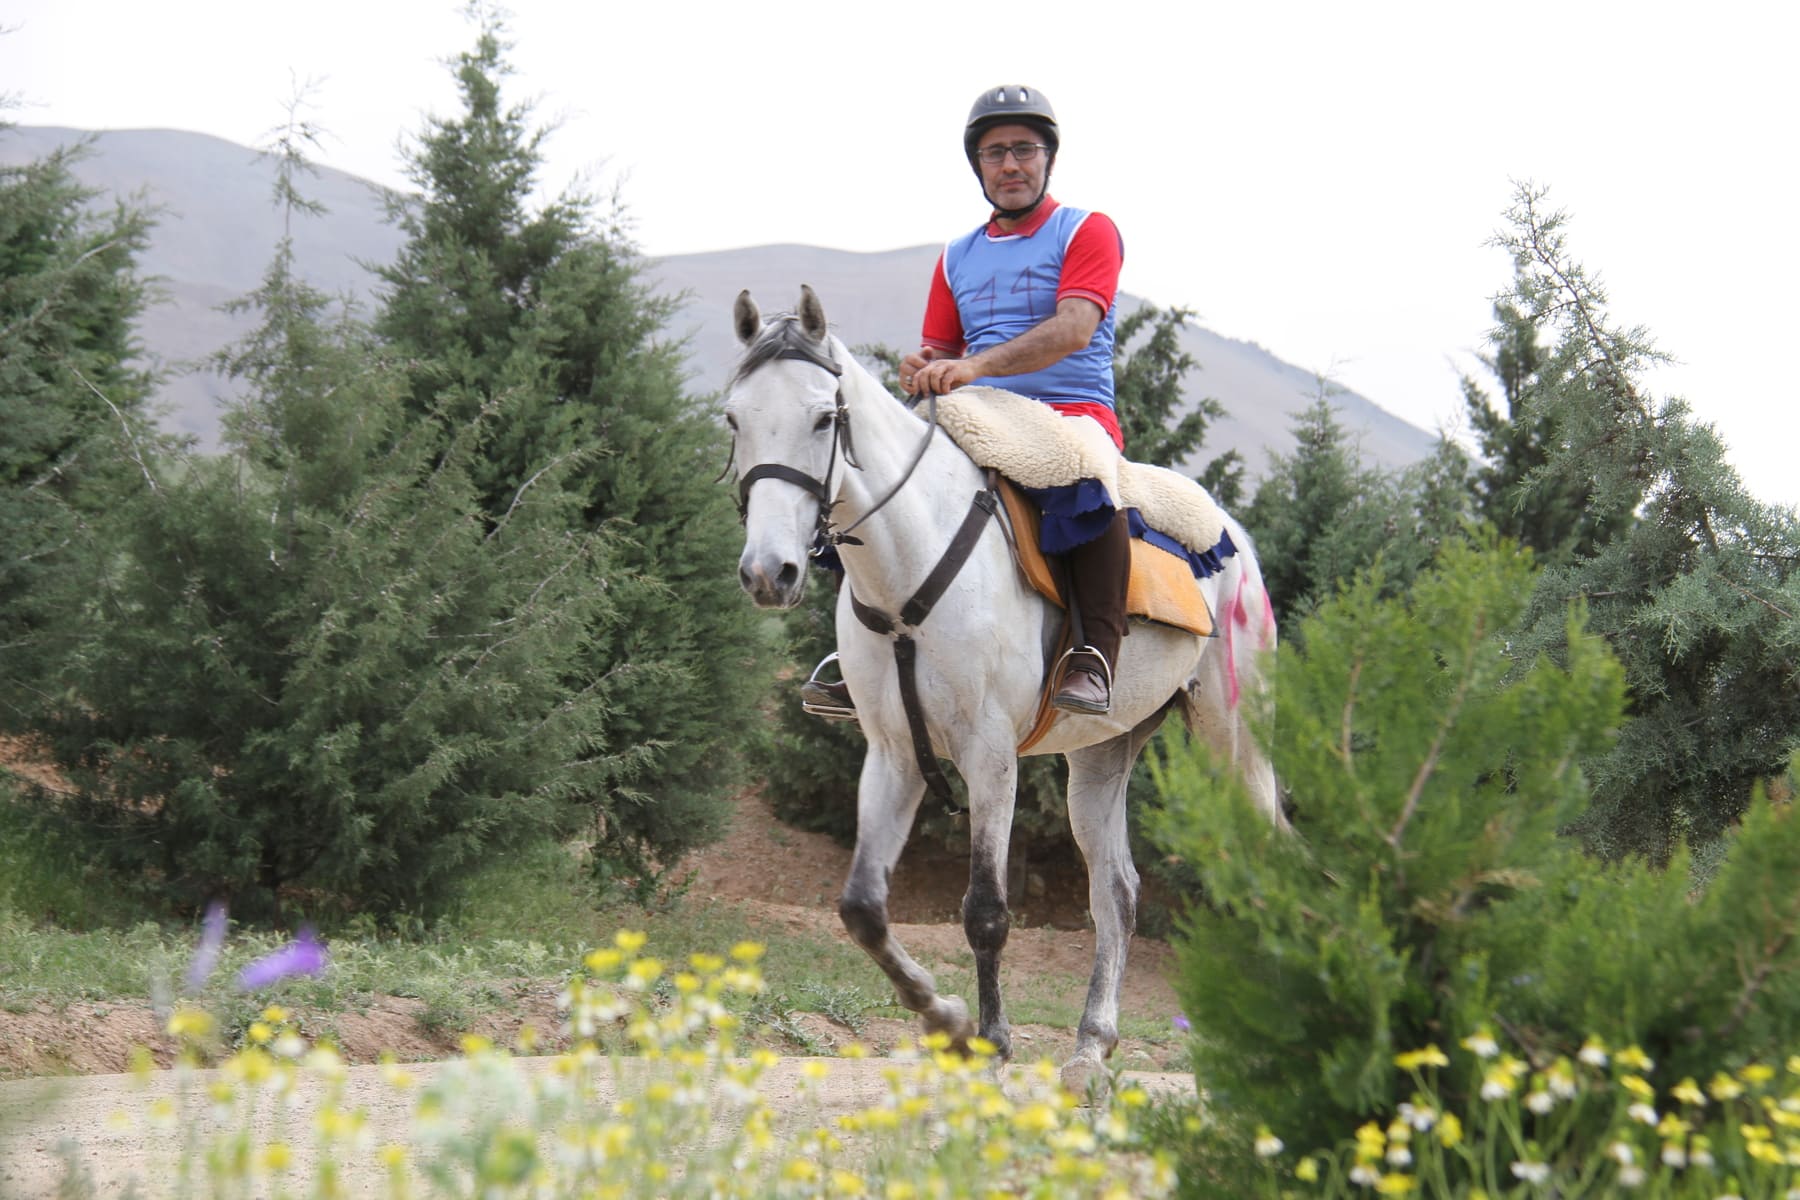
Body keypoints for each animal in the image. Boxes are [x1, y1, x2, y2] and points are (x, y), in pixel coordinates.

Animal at [725, 285, 1285, 1092]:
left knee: (1264, 868)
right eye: (733, 419)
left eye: (824, 417)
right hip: (1102, 755)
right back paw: (1090, 1049)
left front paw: (988, 1040)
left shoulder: (989, 756)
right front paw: (946, 1018)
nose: (770, 573)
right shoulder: (893, 754)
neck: (907, 564)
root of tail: (1232, 536)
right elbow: (862, 906)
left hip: (1233, 740)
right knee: (1117, 891)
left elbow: (986, 909)